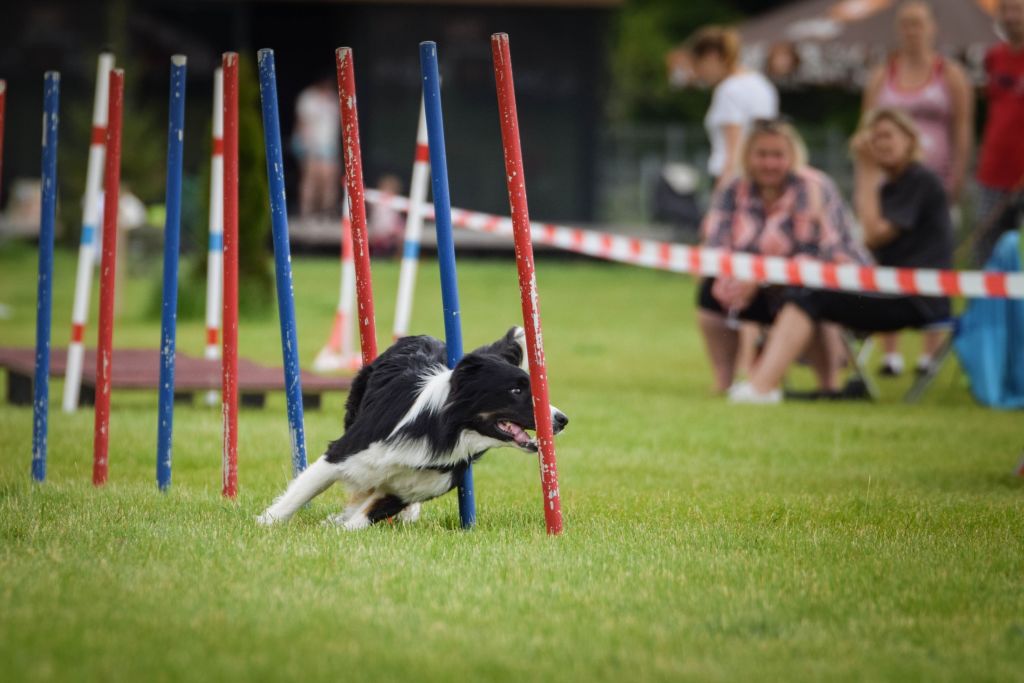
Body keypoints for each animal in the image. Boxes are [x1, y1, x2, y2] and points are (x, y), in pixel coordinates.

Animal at [256, 325, 569, 528]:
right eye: (516, 390)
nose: (561, 419)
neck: (445, 431)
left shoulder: (408, 489)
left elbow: (362, 518)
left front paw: (339, 528)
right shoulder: (346, 451)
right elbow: (302, 491)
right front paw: (266, 523)